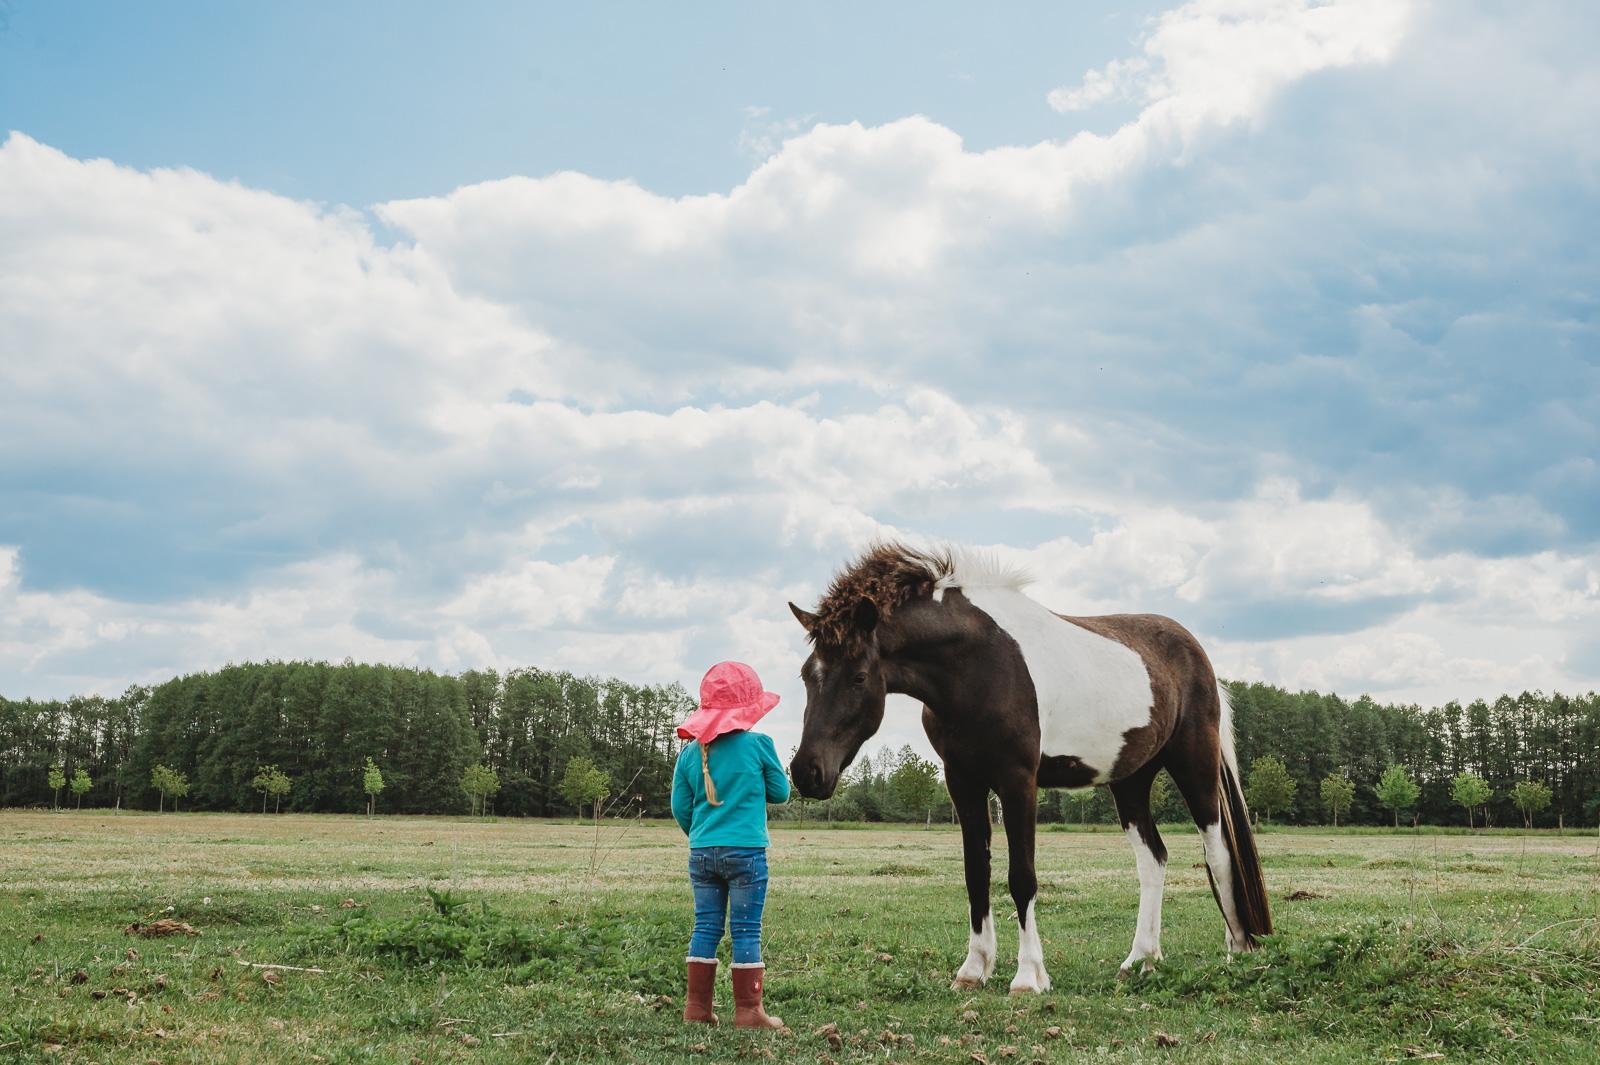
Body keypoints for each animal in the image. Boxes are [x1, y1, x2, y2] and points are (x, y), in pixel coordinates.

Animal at [787, 542, 1272, 993]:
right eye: (807, 675)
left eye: (858, 677)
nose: (806, 772)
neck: (978, 664)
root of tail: (1197, 654)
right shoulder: (963, 781)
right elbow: (976, 874)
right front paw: (973, 970)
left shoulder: (1018, 780)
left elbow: (1021, 877)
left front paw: (1028, 977)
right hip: (1130, 782)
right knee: (1153, 859)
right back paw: (1141, 961)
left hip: (1195, 765)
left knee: (1217, 851)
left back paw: (1237, 951)